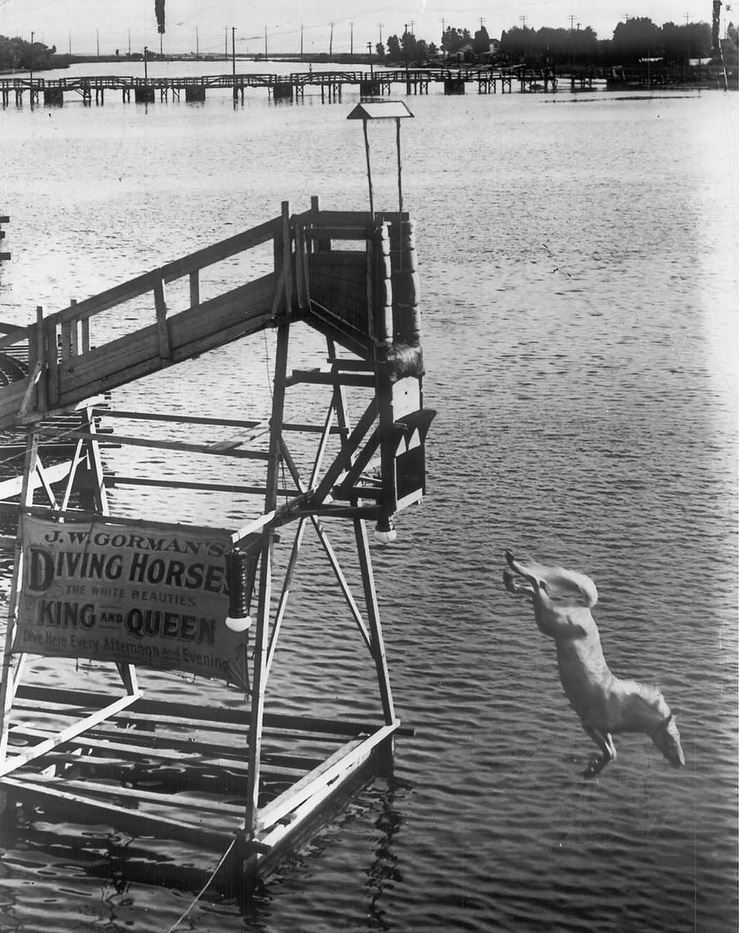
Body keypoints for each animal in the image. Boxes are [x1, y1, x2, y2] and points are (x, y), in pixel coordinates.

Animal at [502, 552, 688, 780]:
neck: (623, 706)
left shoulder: (602, 730)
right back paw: (511, 564)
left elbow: (612, 752)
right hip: (546, 620)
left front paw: (591, 769)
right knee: (539, 584)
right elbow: (609, 752)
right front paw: (591, 768)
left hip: (546, 621)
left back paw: (509, 579)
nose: (681, 763)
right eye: (671, 739)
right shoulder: (588, 724)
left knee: (539, 587)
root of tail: (584, 610)